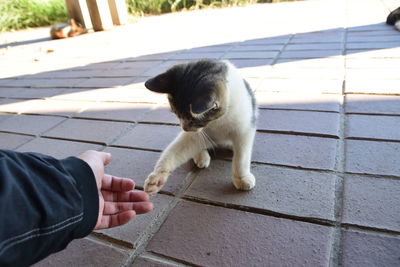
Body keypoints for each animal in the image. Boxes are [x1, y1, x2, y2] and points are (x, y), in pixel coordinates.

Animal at [143, 59, 256, 196]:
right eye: (176, 114)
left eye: (193, 119)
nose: (184, 128)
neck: (218, 121)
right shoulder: (198, 133)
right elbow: (174, 150)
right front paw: (157, 177)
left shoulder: (244, 130)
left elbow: (241, 156)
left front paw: (241, 178)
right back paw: (201, 156)